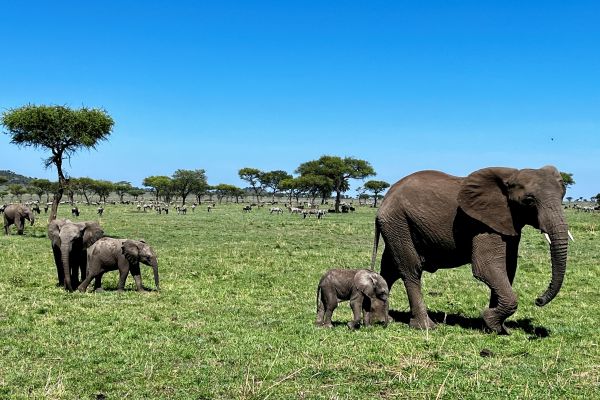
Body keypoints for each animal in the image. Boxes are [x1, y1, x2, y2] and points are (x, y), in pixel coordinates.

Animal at [370, 166, 572, 334]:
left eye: (563, 195)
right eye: (529, 201)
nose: (538, 300)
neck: (510, 175)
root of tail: (385, 199)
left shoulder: (507, 222)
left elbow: (507, 269)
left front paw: (495, 327)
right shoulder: (483, 224)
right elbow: (487, 268)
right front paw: (491, 321)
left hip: (396, 226)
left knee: (389, 269)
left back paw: (384, 318)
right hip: (398, 223)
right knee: (411, 269)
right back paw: (425, 326)